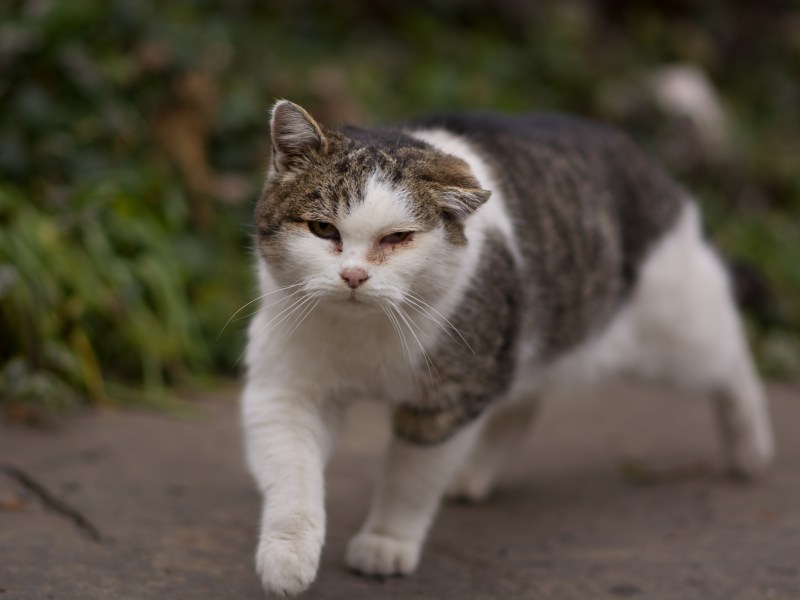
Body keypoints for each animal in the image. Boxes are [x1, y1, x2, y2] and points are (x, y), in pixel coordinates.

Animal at [239, 99, 776, 596]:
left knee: (731, 352)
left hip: (676, 330)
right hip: (524, 340)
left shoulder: (450, 398)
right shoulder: (285, 389)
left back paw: (751, 448)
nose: (353, 276)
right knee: (524, 396)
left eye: (398, 238)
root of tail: (637, 152)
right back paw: (473, 474)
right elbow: (292, 473)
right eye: (322, 230)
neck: (364, 337)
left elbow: (410, 480)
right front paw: (287, 558)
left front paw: (387, 541)